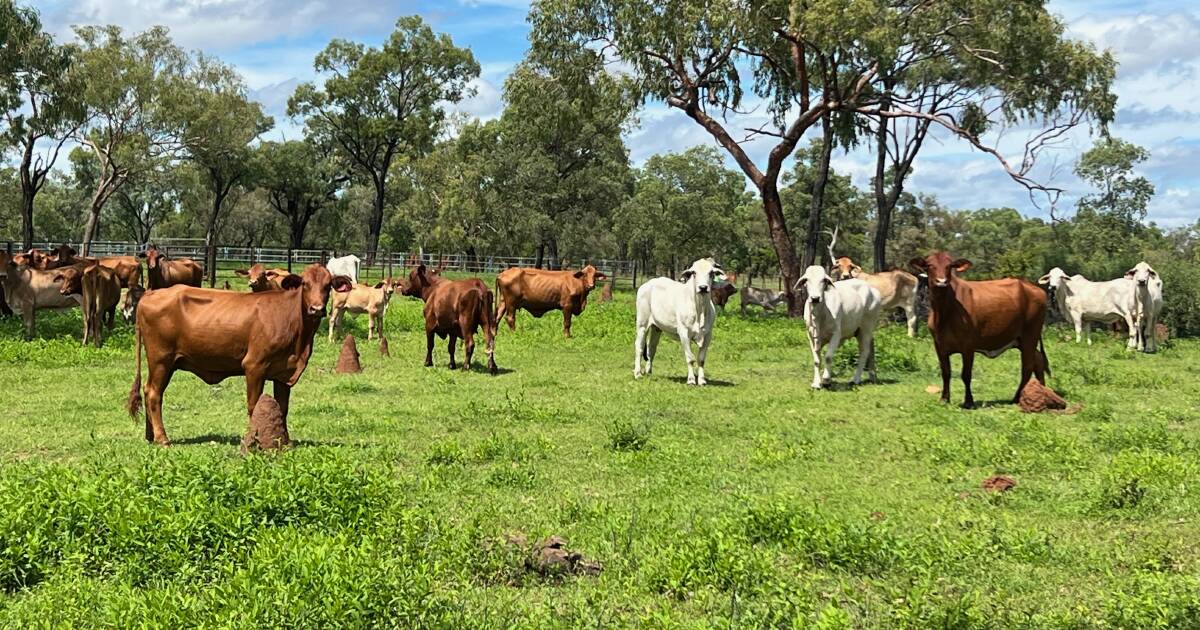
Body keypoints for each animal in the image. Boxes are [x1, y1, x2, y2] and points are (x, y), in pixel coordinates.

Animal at [127, 262, 350, 444]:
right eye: (305, 284)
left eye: (328, 285)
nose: (317, 308)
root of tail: (150, 295)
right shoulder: (254, 366)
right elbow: (253, 405)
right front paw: (253, 441)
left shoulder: (284, 371)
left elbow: (282, 408)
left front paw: (283, 441)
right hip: (161, 360)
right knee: (154, 394)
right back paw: (162, 438)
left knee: (147, 390)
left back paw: (150, 435)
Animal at [633, 255, 724, 384]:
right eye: (694, 273)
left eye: (711, 273)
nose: (703, 288)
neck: (700, 309)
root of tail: (647, 284)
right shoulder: (684, 333)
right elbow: (690, 358)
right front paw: (691, 380)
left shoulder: (707, 335)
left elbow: (701, 359)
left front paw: (702, 380)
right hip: (642, 324)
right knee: (639, 347)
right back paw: (637, 373)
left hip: (656, 328)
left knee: (651, 348)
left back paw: (648, 372)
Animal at [907, 250, 1051, 408]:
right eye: (929, 265)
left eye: (949, 266)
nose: (942, 282)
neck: (944, 312)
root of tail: (1033, 287)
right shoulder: (939, 345)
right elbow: (946, 372)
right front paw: (944, 399)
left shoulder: (968, 346)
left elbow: (966, 374)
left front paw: (969, 401)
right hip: (1020, 340)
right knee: (1038, 360)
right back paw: (1042, 392)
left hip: (1030, 336)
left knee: (1027, 367)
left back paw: (1017, 397)